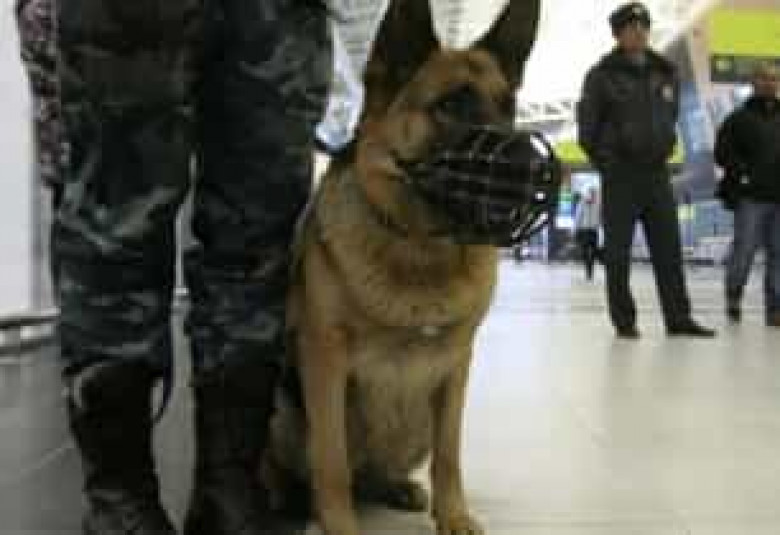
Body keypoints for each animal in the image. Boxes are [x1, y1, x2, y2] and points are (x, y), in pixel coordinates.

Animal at [264, 1, 541, 534]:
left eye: (509, 106)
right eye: (451, 106)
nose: (537, 171)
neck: (419, 247)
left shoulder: (455, 364)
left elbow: (449, 455)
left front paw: (453, 515)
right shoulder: (325, 358)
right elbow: (329, 460)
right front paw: (338, 525)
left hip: (414, 423)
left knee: (379, 470)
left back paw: (395, 486)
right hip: (284, 406)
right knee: (319, 470)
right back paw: (291, 500)